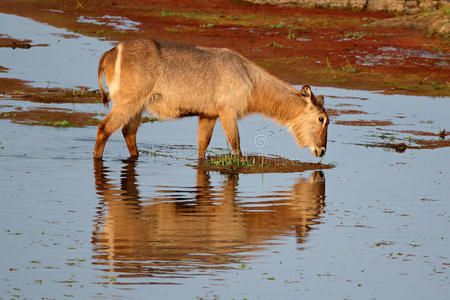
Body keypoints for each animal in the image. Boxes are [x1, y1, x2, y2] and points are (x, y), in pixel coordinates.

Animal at [95, 39, 328, 159]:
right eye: (322, 119)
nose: (322, 150)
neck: (250, 78)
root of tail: (110, 52)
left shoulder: (208, 115)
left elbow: (202, 145)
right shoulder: (228, 112)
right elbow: (236, 144)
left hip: (139, 106)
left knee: (128, 132)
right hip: (127, 102)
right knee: (104, 129)